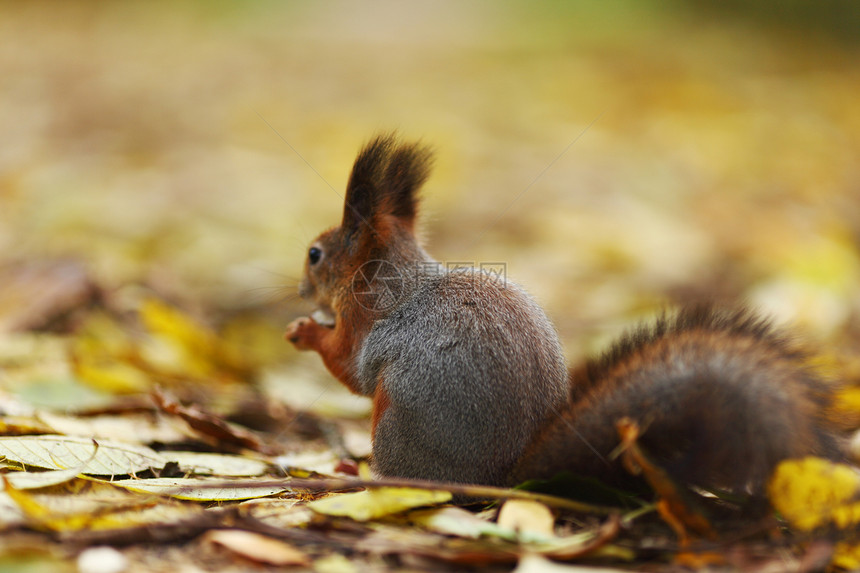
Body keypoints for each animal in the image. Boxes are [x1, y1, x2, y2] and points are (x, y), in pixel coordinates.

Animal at [286, 133, 844, 496]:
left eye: (315, 254)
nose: (300, 292)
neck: (391, 280)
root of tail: (503, 480)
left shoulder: (369, 331)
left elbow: (351, 369)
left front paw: (307, 331)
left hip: (397, 423)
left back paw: (361, 475)